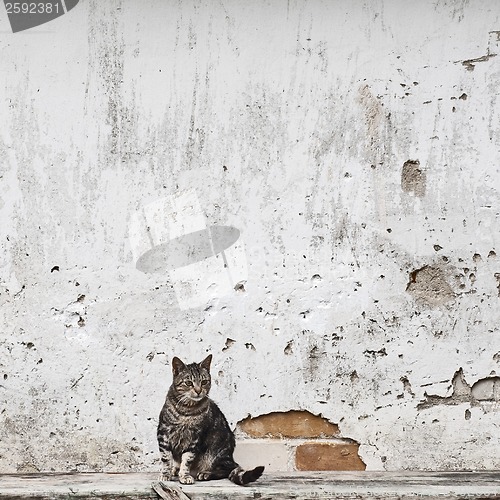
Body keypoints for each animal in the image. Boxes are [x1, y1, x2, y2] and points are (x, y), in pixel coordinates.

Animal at [157, 354, 266, 486]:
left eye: (204, 382)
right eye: (188, 383)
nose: (198, 390)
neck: (187, 411)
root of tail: (230, 456)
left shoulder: (195, 438)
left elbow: (187, 459)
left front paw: (184, 475)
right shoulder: (163, 433)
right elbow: (166, 458)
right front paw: (166, 474)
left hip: (214, 453)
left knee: (227, 469)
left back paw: (205, 474)